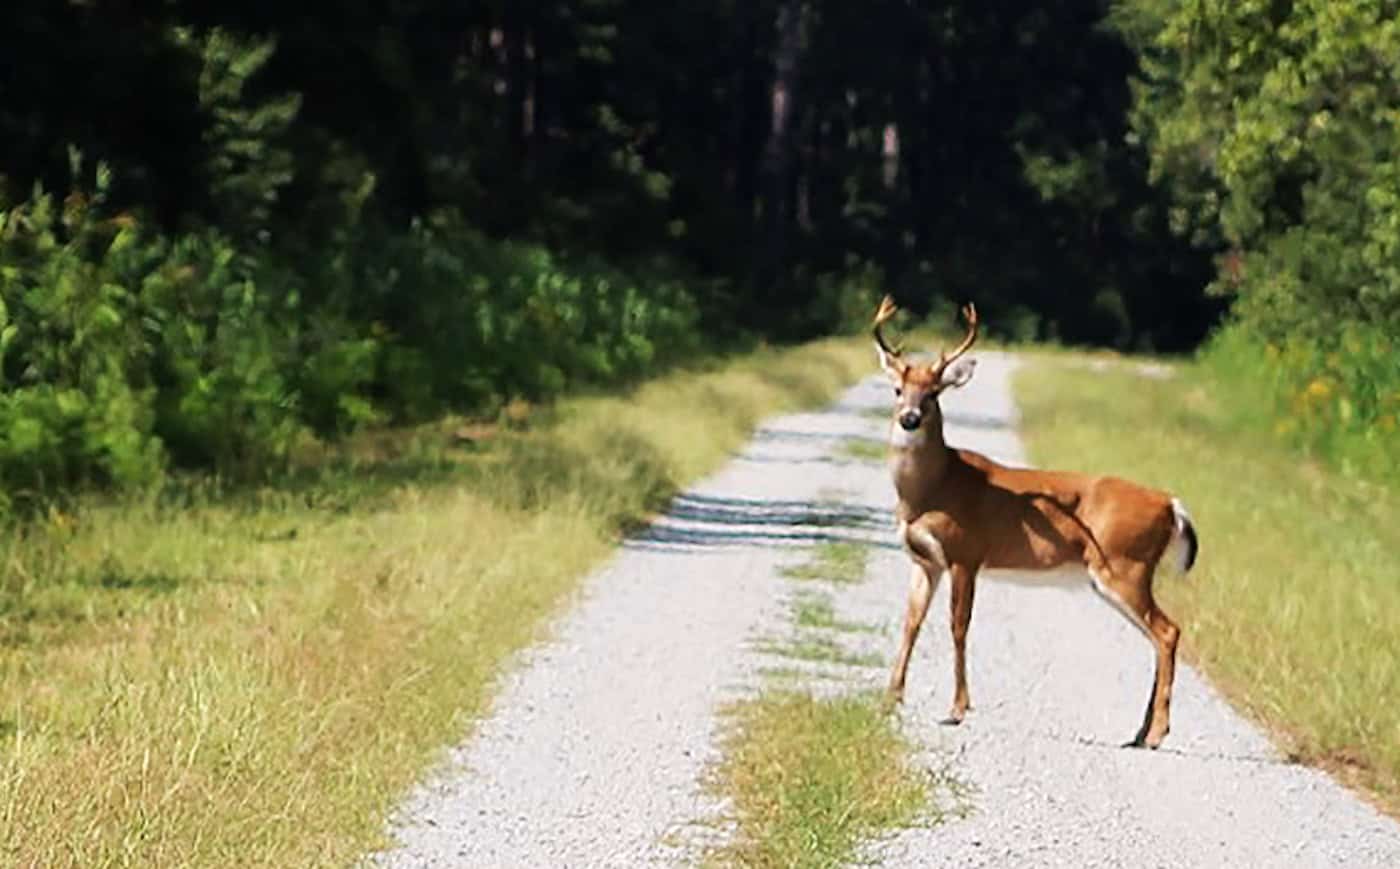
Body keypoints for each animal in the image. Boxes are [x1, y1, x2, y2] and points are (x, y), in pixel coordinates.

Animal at [873, 296, 1199, 748]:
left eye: (934, 393)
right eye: (897, 389)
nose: (909, 419)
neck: (930, 490)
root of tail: (1171, 504)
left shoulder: (966, 553)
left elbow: (958, 627)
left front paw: (957, 709)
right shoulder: (925, 560)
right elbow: (911, 623)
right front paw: (890, 698)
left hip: (1125, 565)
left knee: (1168, 632)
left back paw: (1155, 734)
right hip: (1115, 576)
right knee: (1157, 636)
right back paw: (1139, 732)